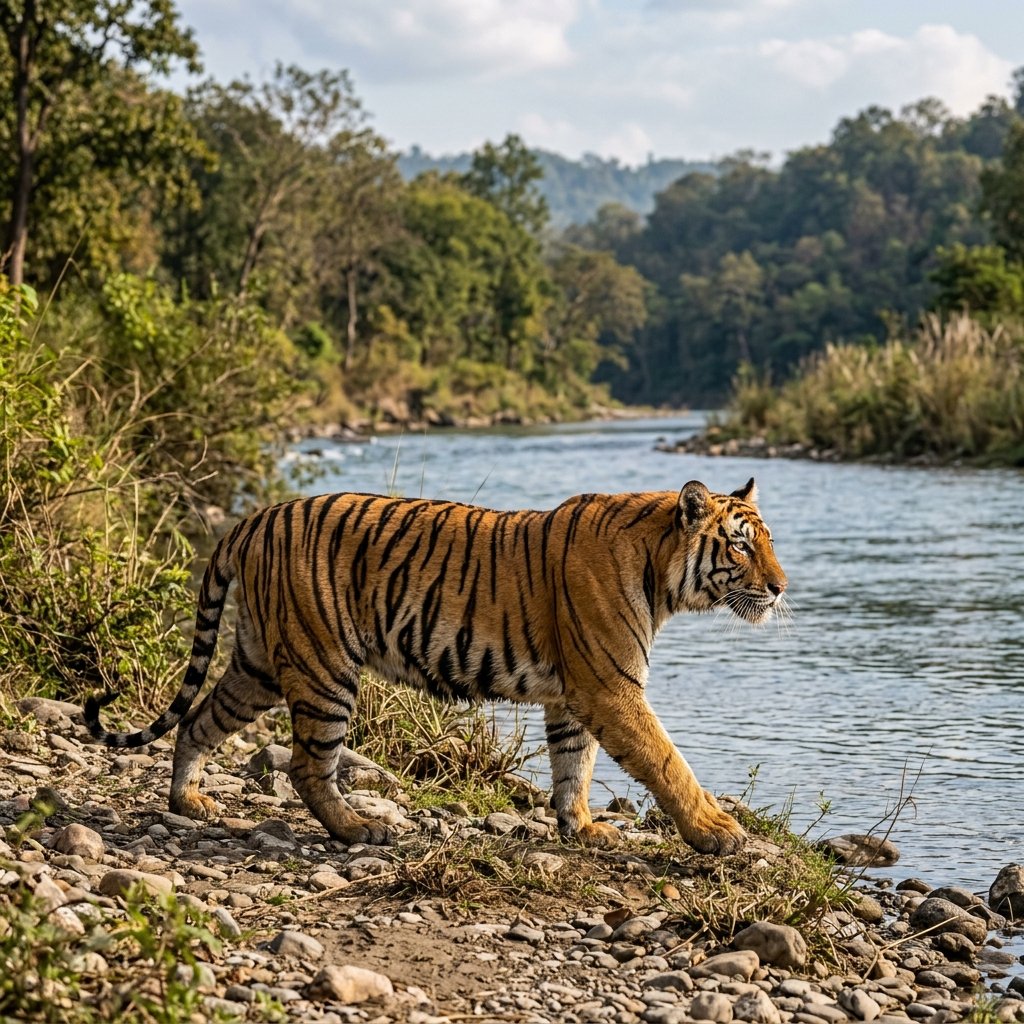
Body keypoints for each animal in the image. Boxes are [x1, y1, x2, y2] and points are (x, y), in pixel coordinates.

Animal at [85, 477, 787, 854]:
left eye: (770, 542)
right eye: (740, 547)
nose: (781, 588)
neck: (662, 574)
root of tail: (254, 519)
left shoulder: (573, 696)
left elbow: (573, 768)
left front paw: (583, 829)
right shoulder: (610, 686)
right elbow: (668, 762)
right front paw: (718, 831)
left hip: (258, 662)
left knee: (197, 720)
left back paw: (188, 801)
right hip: (323, 667)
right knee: (308, 766)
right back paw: (359, 828)